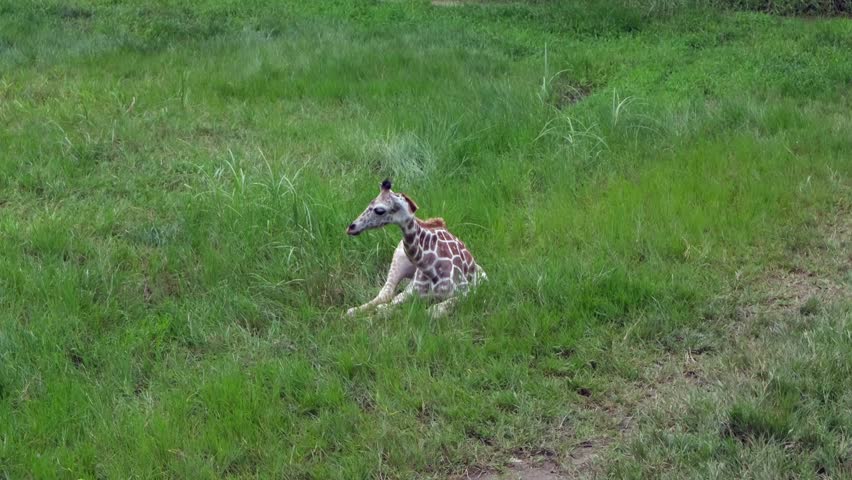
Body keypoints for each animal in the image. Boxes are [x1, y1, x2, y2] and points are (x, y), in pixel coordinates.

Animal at [346, 179, 487, 319]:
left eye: (379, 210)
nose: (351, 227)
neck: (430, 269)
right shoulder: (411, 290)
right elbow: (386, 308)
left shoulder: (466, 293)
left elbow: (432, 311)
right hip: (398, 260)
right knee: (385, 293)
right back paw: (352, 311)